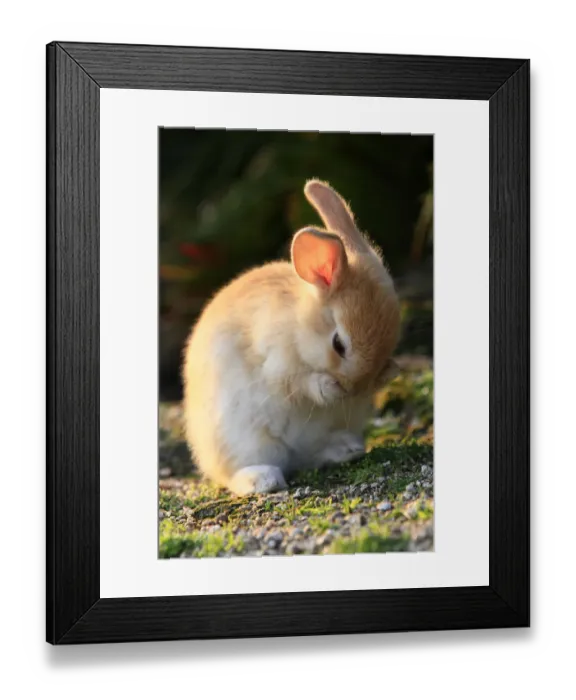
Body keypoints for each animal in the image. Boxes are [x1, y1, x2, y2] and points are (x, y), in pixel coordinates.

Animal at [182, 180, 401, 496]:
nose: (353, 389)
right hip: (244, 441)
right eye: (338, 344)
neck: (299, 323)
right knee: (234, 472)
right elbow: (301, 383)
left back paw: (346, 450)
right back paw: (261, 479)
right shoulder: (277, 364)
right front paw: (329, 388)